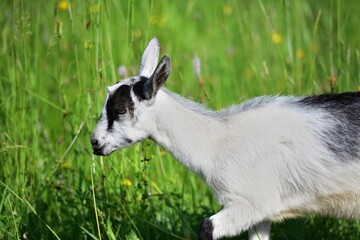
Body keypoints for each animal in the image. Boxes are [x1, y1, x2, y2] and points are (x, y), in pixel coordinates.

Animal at [90, 38, 360, 239]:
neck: (217, 141)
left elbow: (206, 227)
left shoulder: (251, 202)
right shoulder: (260, 213)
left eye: (120, 109)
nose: (94, 142)